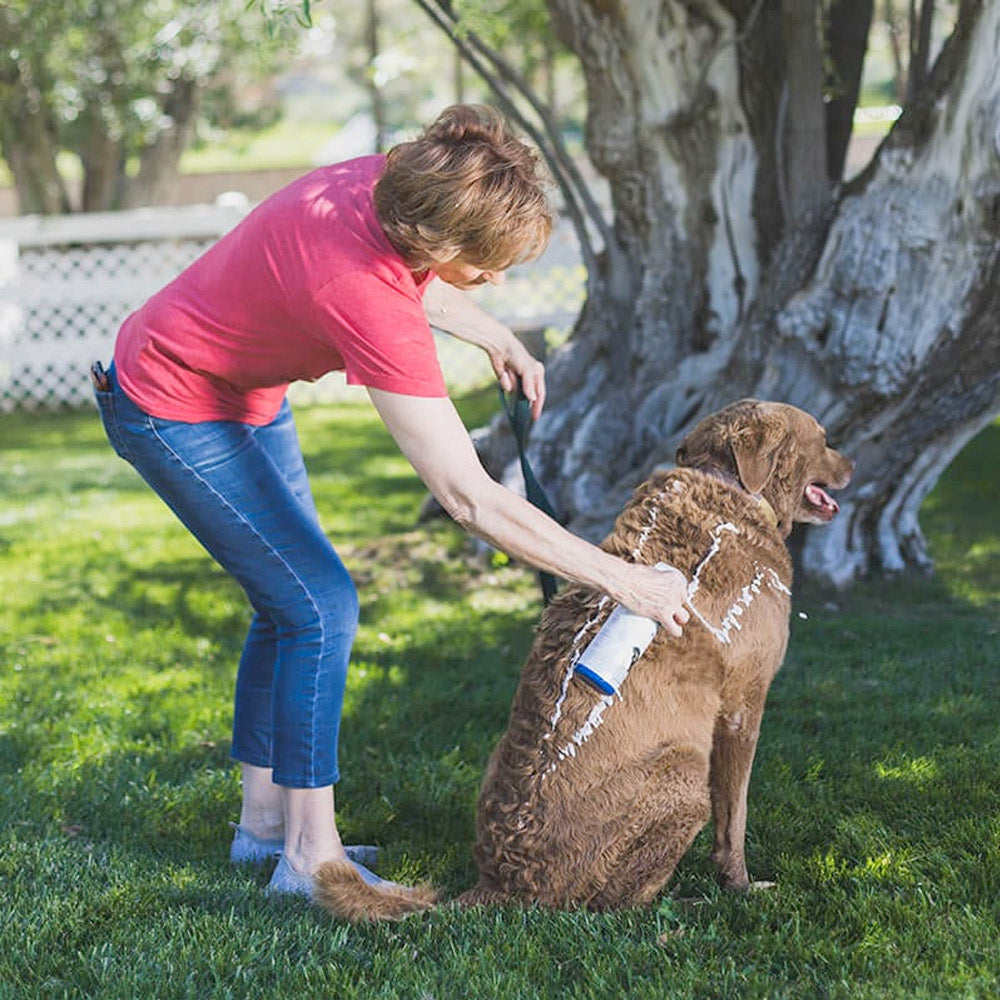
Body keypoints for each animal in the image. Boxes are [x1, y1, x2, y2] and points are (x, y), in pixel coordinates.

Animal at [310, 398, 852, 920]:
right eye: (825, 438)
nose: (852, 464)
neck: (732, 485)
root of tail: (499, 883)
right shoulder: (743, 704)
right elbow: (734, 818)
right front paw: (740, 886)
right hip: (682, 771)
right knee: (614, 908)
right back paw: (688, 904)